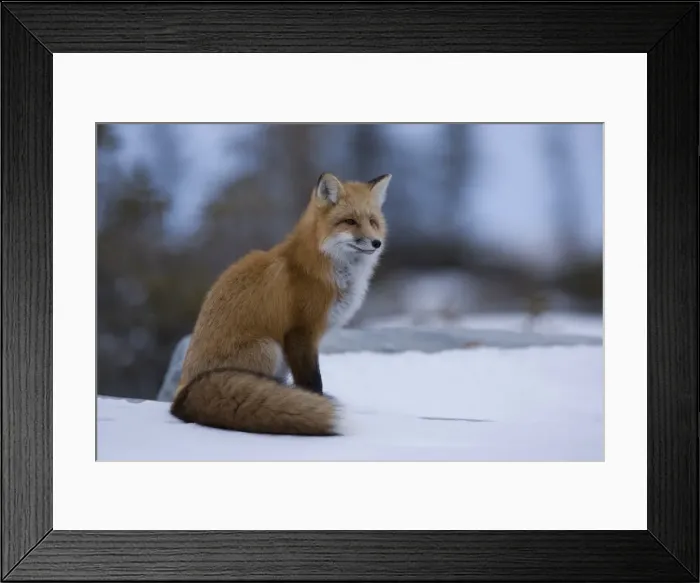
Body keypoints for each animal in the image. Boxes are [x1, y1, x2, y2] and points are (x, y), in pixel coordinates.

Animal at [169, 171, 392, 436]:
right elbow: (312, 381)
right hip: (269, 348)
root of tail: (182, 394)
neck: (322, 268)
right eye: (349, 221)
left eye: (373, 222)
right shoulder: (301, 332)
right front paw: (315, 404)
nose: (376, 243)